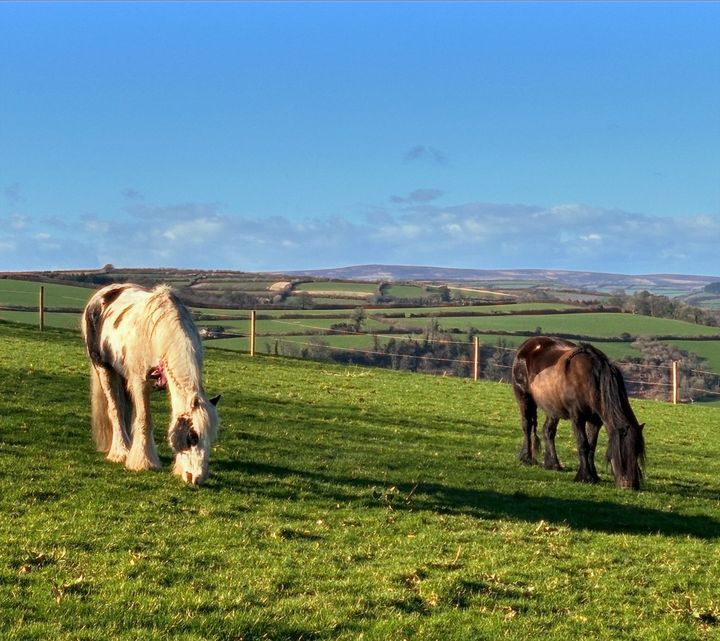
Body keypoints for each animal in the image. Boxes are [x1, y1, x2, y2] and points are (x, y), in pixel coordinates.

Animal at [82, 283, 220, 485]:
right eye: (192, 436)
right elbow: (145, 419)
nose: (197, 478)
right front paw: (145, 463)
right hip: (104, 369)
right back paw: (121, 452)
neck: (159, 335)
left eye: (210, 438)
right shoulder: (140, 382)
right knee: (115, 410)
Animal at [511, 336, 644, 489]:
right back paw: (526, 459)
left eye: (637, 452)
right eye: (622, 452)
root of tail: (527, 344)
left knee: (548, 431)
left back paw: (553, 464)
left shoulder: (595, 421)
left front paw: (593, 475)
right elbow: (583, 445)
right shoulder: (577, 418)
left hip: (552, 408)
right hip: (524, 397)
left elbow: (592, 446)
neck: (593, 379)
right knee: (527, 426)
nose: (631, 485)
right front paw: (584, 477)